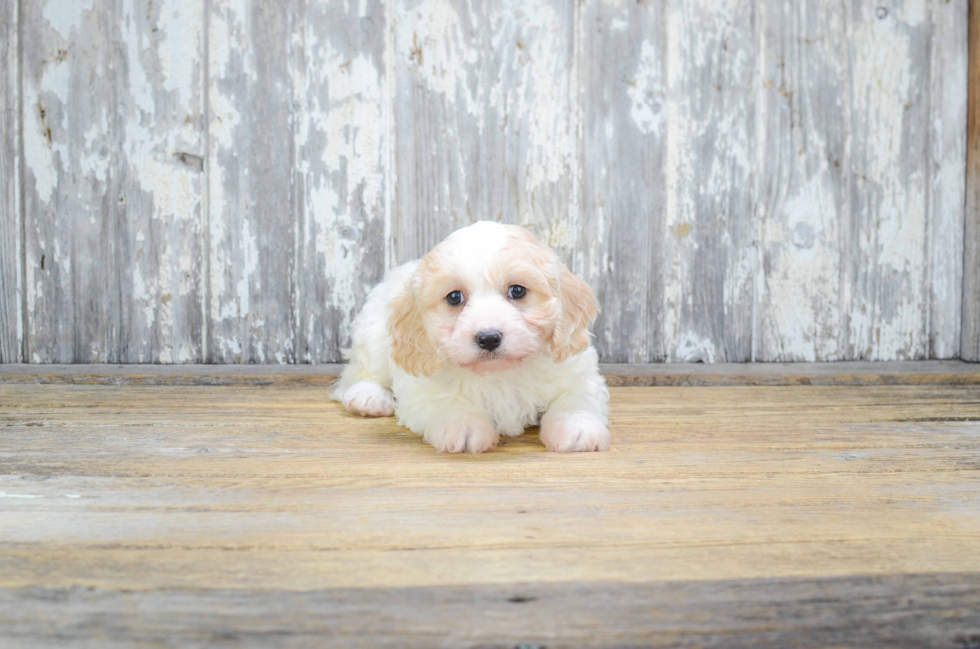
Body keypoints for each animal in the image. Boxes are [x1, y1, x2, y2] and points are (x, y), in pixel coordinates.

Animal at [334, 220, 608, 454]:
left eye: (517, 291)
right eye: (455, 297)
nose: (489, 338)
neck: (500, 373)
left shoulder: (579, 373)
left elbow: (575, 398)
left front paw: (577, 427)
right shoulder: (420, 391)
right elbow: (446, 403)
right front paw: (464, 427)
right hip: (373, 333)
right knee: (361, 372)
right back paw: (368, 398)